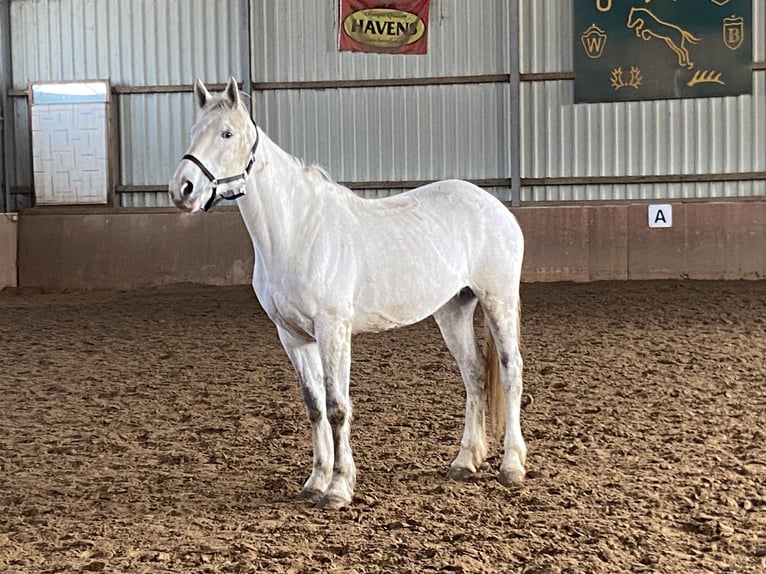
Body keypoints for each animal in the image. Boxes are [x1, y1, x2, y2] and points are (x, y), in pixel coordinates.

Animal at [169, 77, 528, 512]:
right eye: (193, 131)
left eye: (227, 133)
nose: (183, 188)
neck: (298, 230)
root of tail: (495, 207)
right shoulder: (293, 336)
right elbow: (314, 406)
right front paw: (315, 482)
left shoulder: (332, 330)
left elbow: (337, 407)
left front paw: (339, 488)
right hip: (453, 310)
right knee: (474, 374)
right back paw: (464, 461)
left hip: (498, 301)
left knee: (510, 372)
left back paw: (512, 466)